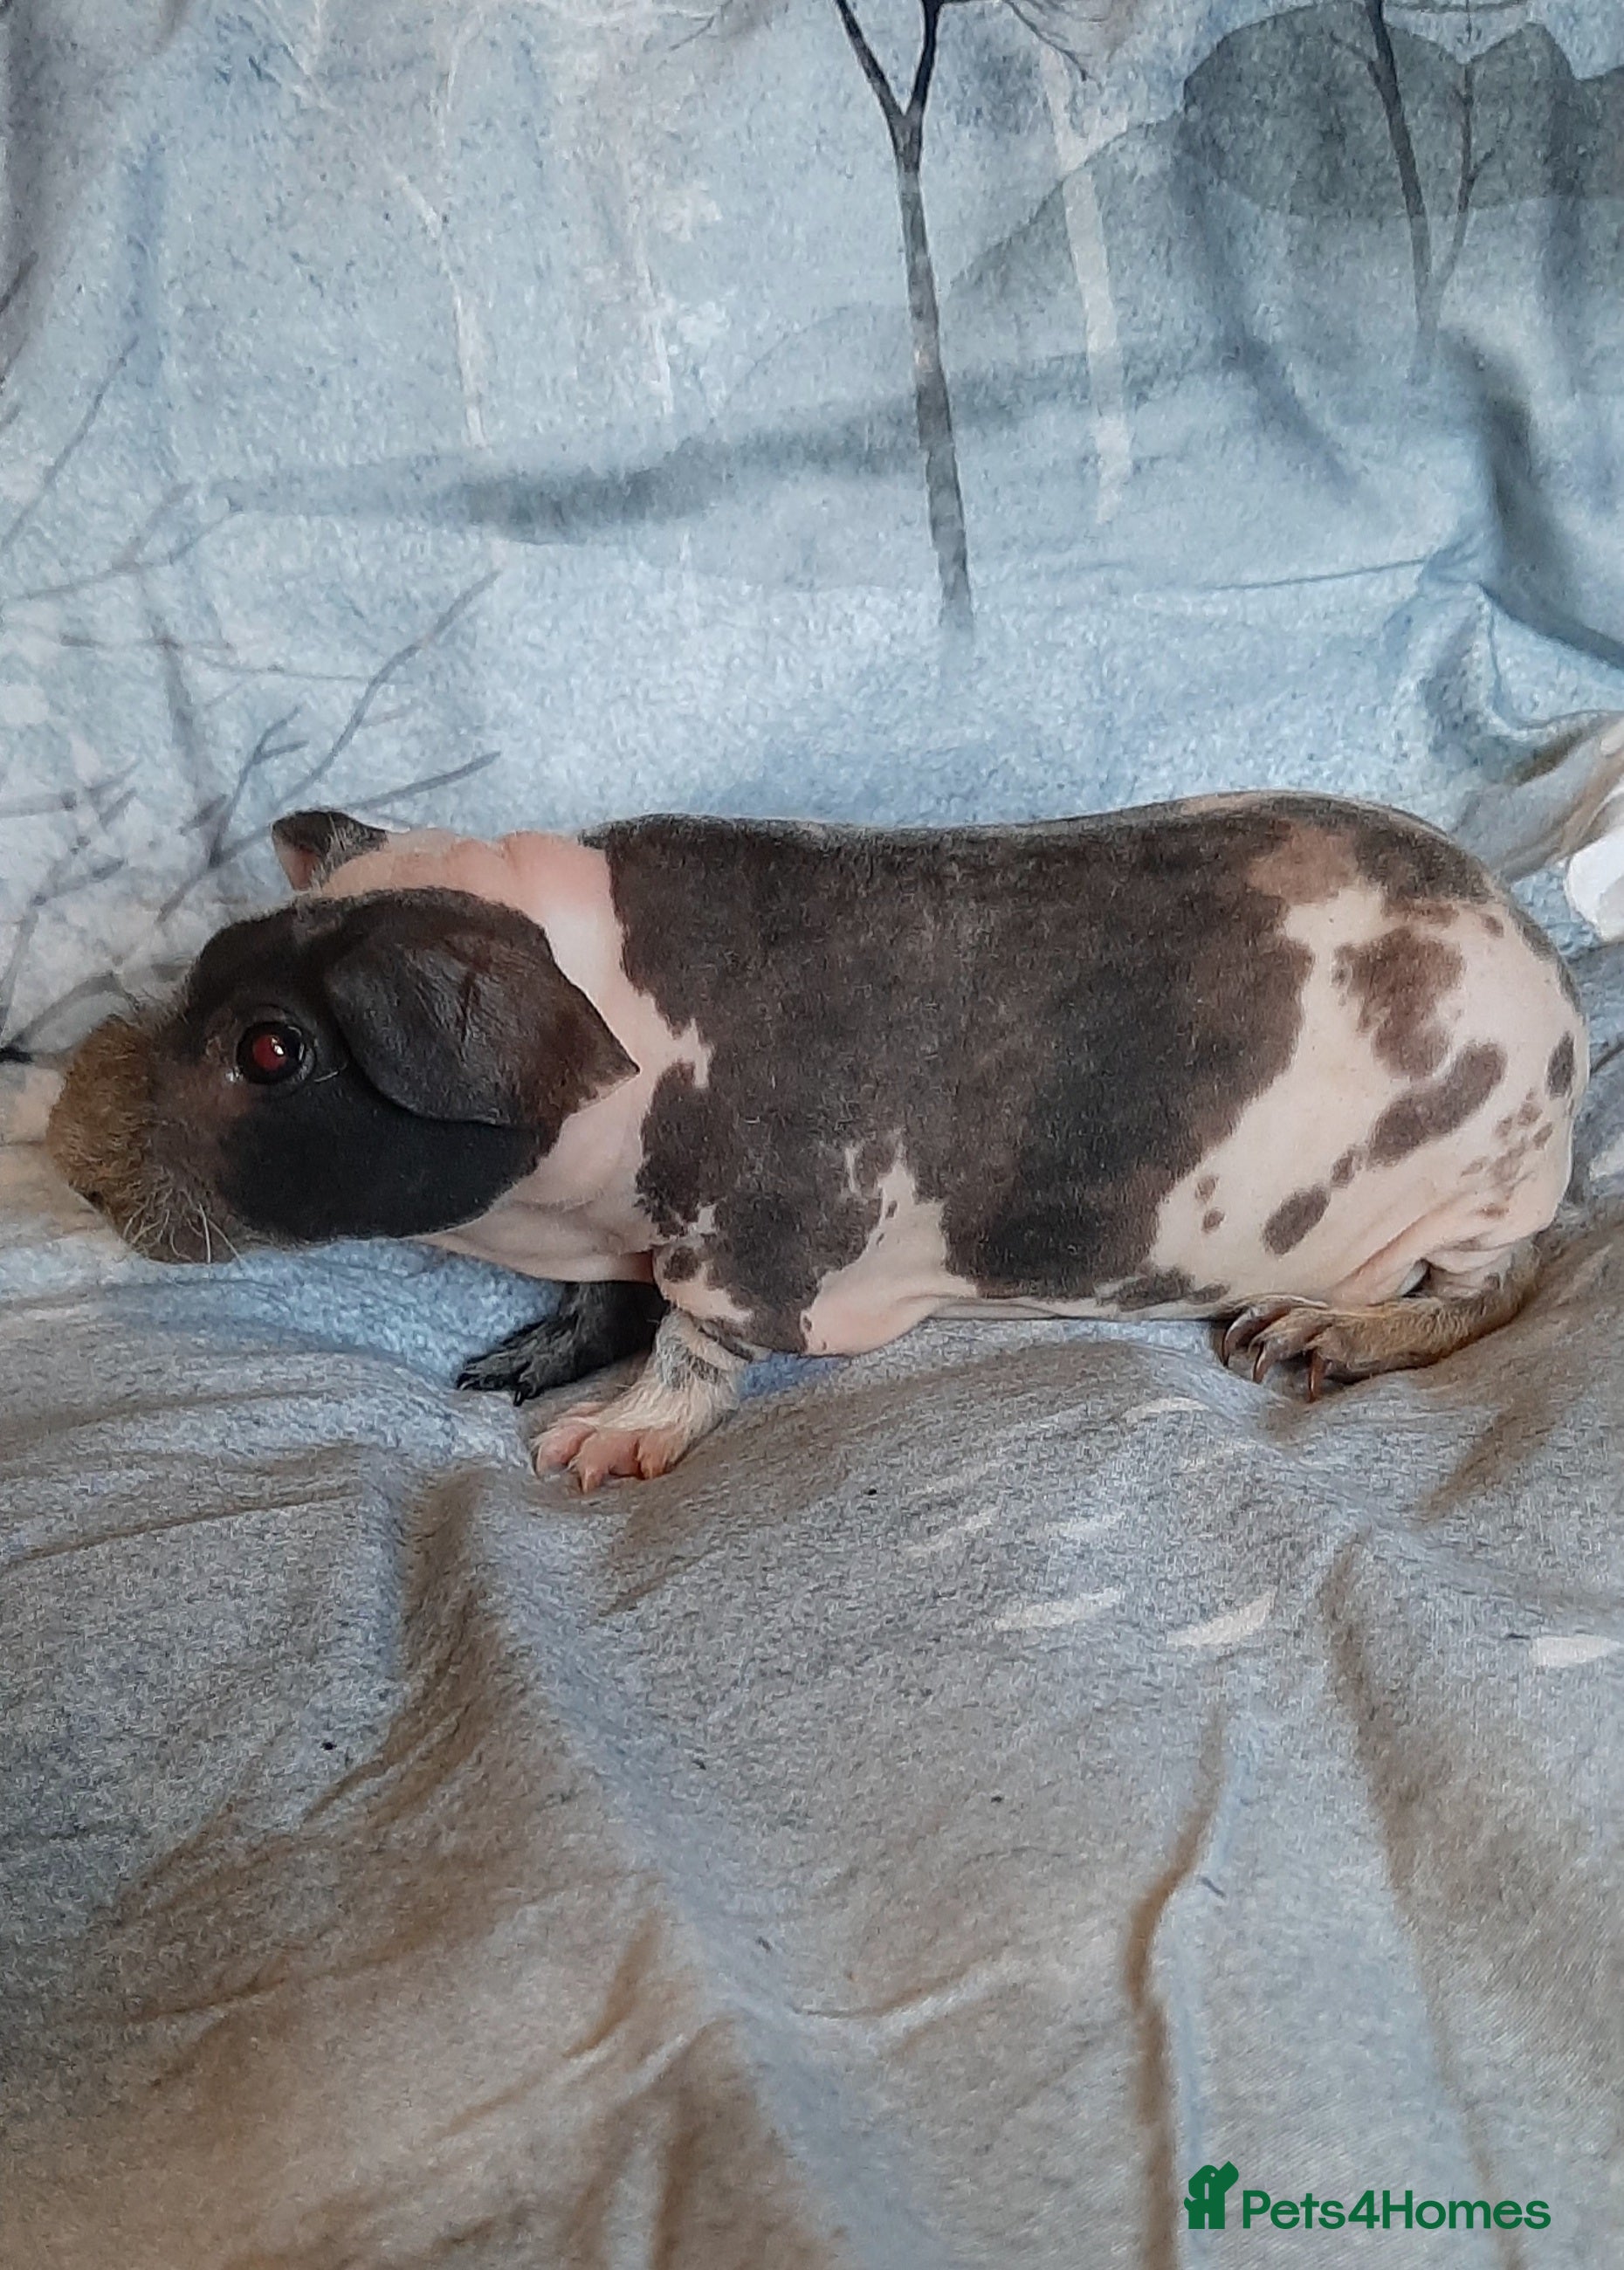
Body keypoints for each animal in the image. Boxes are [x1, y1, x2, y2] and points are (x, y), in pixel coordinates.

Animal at [45, 794, 1587, 1489]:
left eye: (272, 1050)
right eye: (203, 969)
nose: (62, 1143)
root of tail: (1552, 989)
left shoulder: (758, 1247)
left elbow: (693, 1348)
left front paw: (589, 1450)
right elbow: (597, 1303)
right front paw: (505, 1368)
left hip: (1474, 1194)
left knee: (1493, 1294)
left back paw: (1299, 1341)